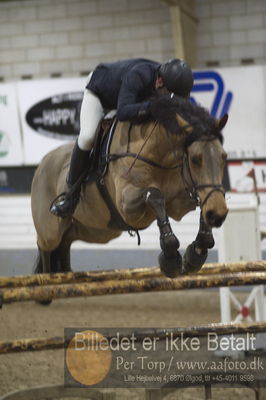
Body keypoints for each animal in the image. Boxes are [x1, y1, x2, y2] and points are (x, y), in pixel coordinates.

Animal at [31, 95, 229, 280]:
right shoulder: (127, 206)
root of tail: (41, 165)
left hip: (93, 230)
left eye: (224, 157)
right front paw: (171, 259)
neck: (158, 156)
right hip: (50, 231)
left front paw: (195, 254)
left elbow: (199, 202)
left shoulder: (178, 204)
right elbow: (154, 195)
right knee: (45, 246)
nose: (218, 214)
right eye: (195, 159)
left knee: (65, 243)